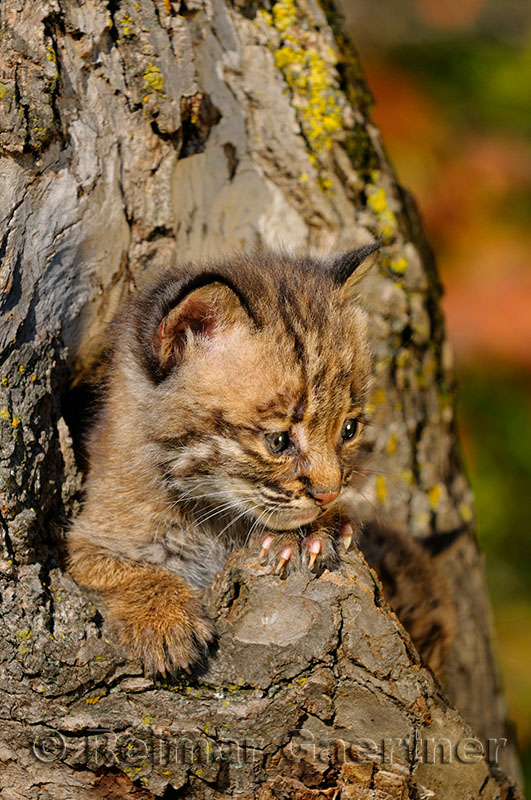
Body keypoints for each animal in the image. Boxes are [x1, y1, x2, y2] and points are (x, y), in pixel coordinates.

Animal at [68, 244, 456, 676]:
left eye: (348, 429)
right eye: (279, 440)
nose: (328, 495)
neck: (204, 514)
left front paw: (316, 530)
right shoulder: (87, 538)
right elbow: (113, 569)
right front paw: (163, 619)